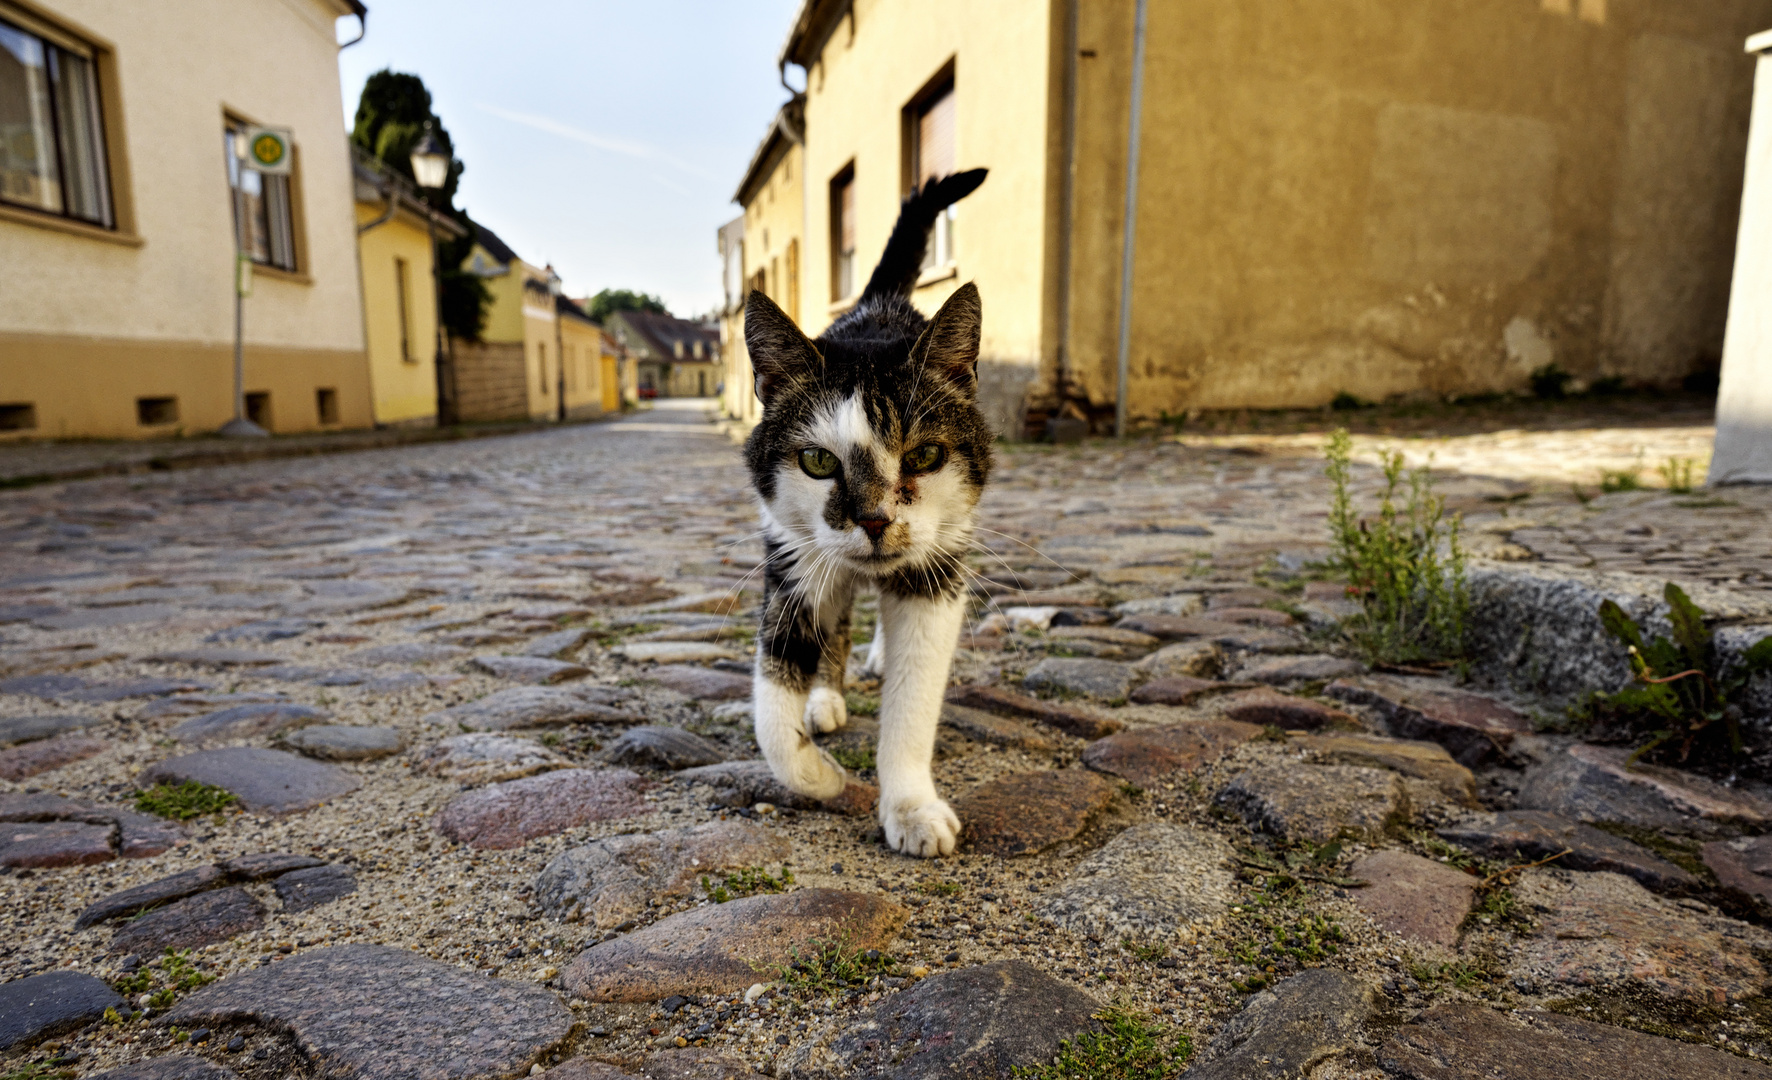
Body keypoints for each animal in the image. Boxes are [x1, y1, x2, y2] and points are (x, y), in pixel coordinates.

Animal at [740, 168, 999, 854]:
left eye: (926, 454)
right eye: (816, 461)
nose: (876, 521)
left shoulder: (939, 573)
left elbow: (913, 704)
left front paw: (911, 808)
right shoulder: (790, 558)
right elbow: (771, 710)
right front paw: (823, 778)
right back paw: (824, 698)